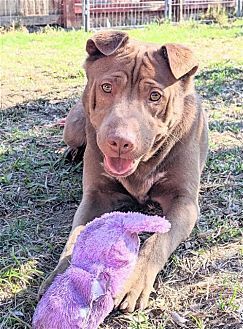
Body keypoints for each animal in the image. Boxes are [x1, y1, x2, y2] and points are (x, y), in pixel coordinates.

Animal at [39, 29, 208, 312]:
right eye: (107, 87)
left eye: (155, 96)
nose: (119, 142)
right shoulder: (96, 196)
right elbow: (76, 235)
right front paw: (62, 279)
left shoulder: (183, 201)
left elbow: (157, 240)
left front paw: (133, 281)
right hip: (74, 125)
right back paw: (72, 152)